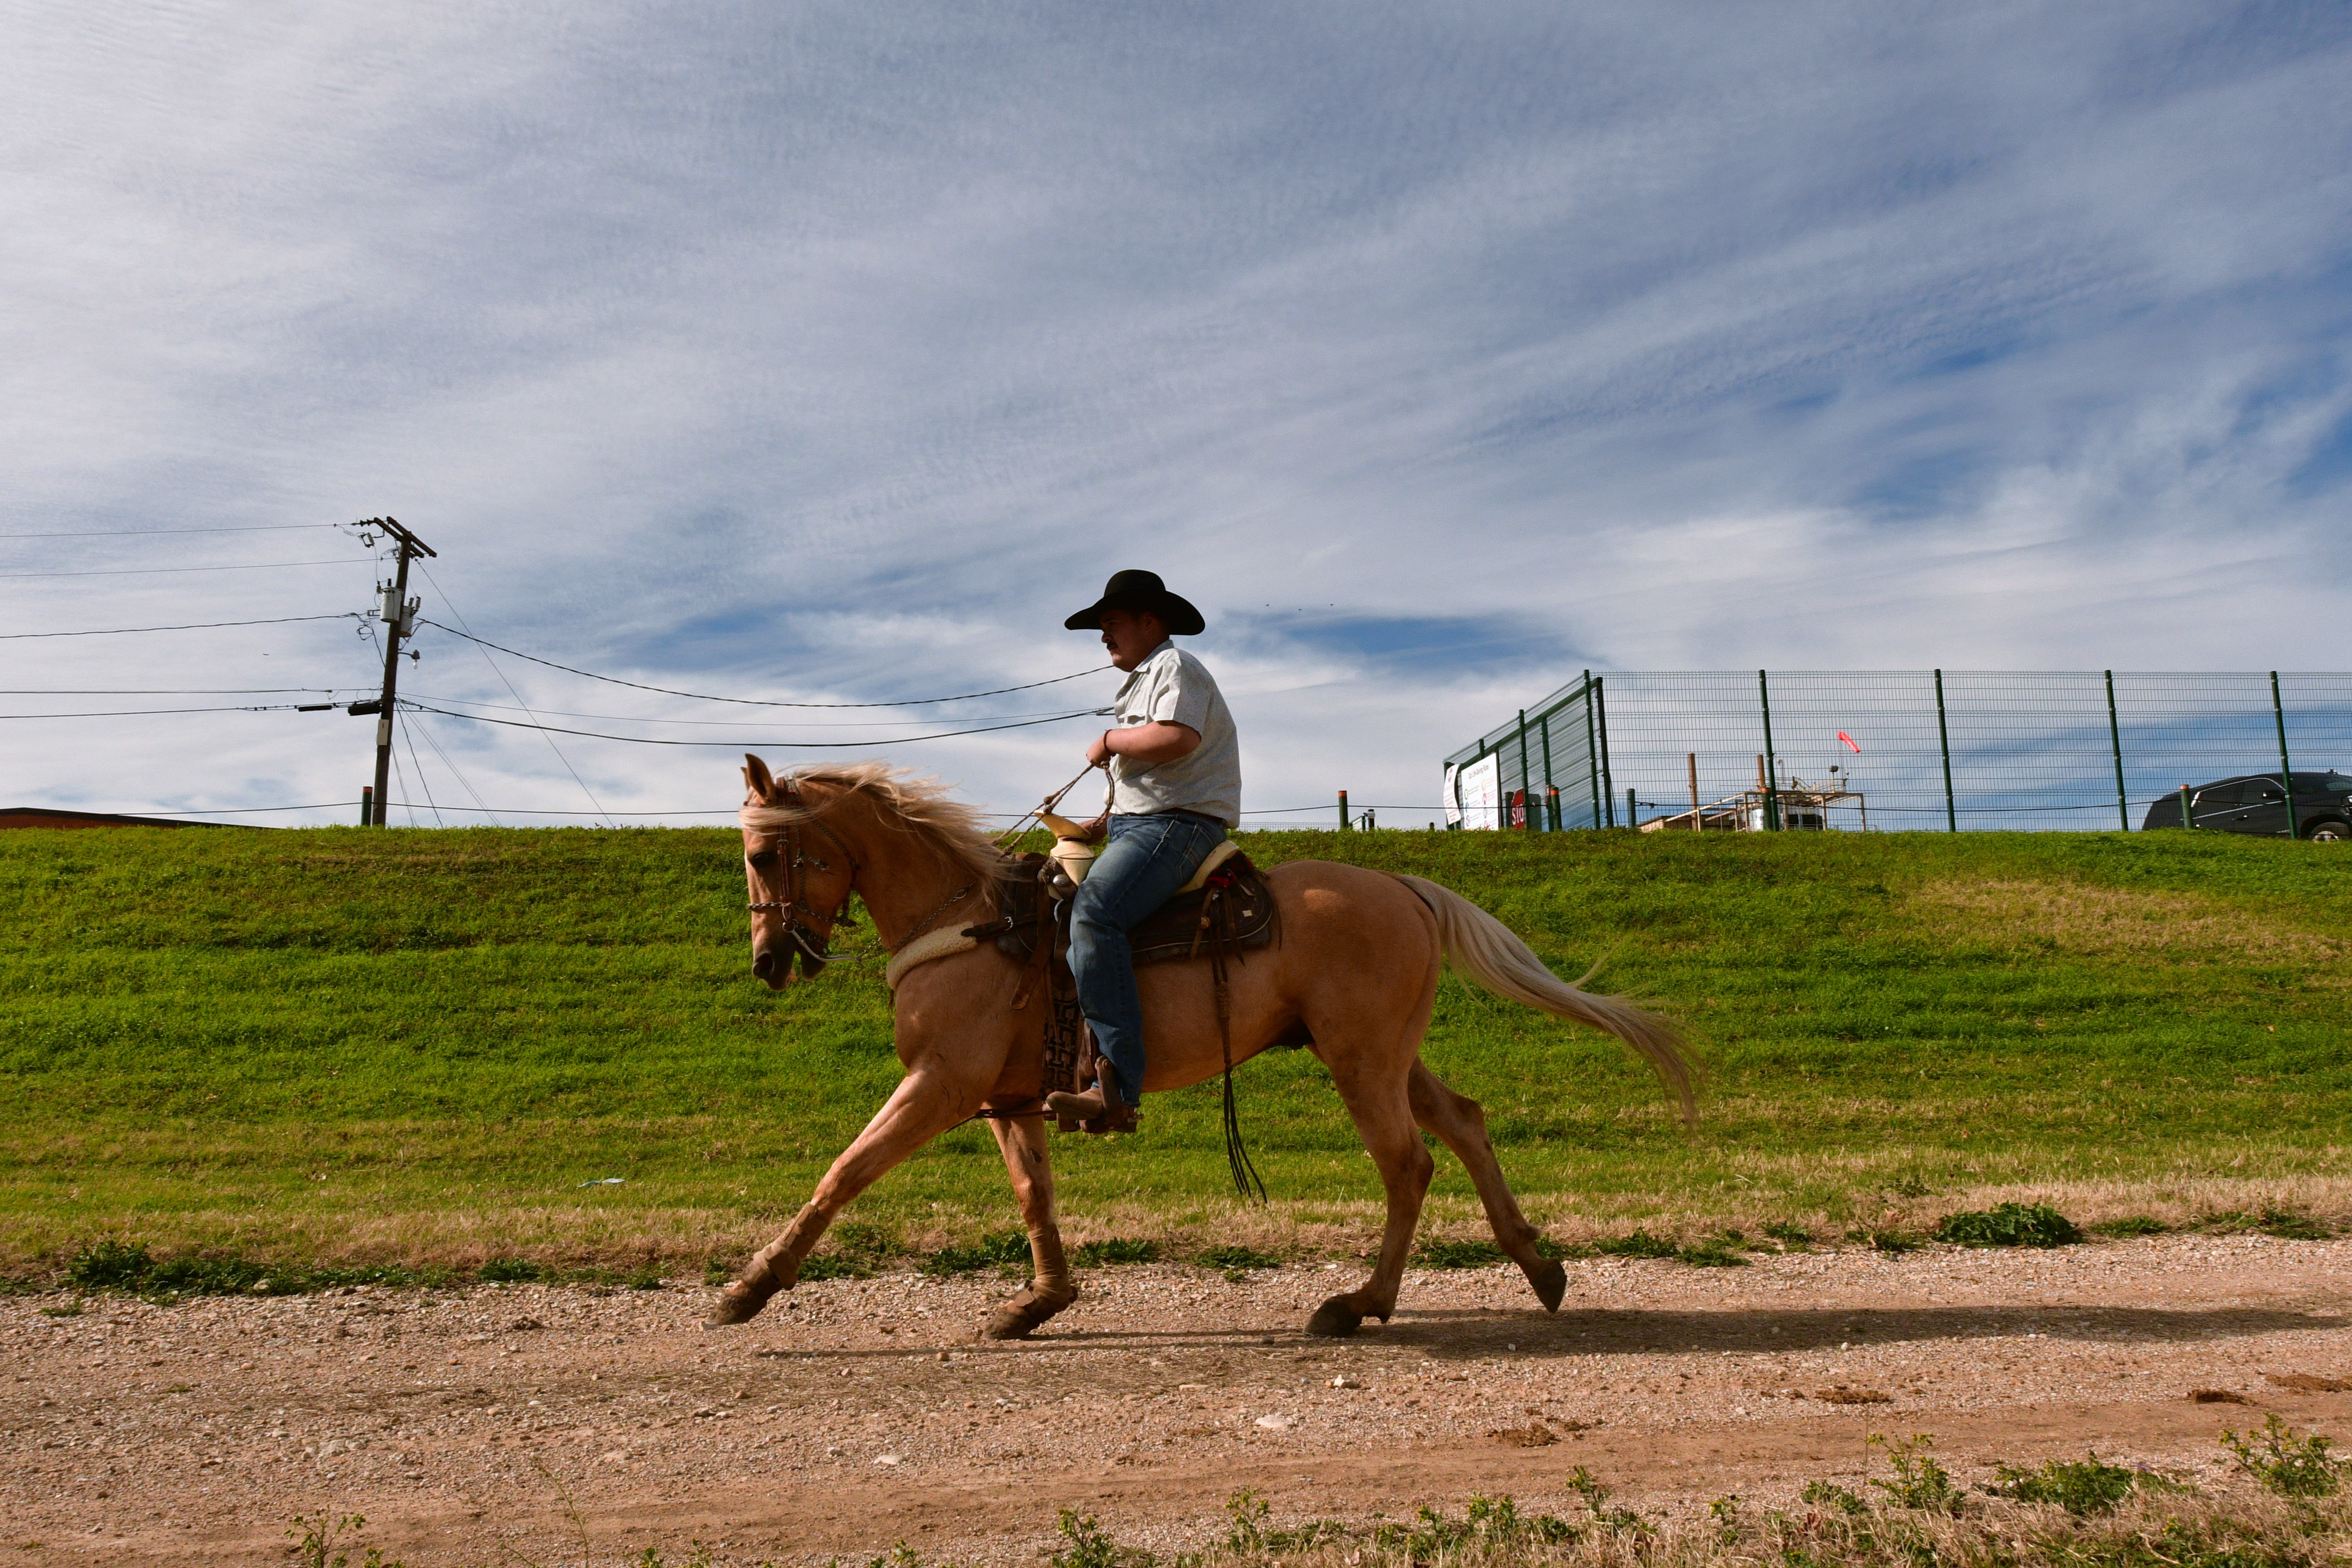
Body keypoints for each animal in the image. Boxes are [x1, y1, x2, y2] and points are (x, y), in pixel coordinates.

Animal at [705, 757, 1703, 1335]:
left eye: (758, 855)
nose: (767, 962)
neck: (969, 919)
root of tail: (1404, 886)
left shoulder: (940, 1084)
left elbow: (844, 1171)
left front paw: (750, 1286)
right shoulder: (1005, 1096)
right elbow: (1034, 1193)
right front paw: (1039, 1300)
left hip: (1360, 1060)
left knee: (1407, 1161)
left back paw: (1361, 1303)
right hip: (1382, 1052)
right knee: (1462, 1122)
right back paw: (1539, 1266)